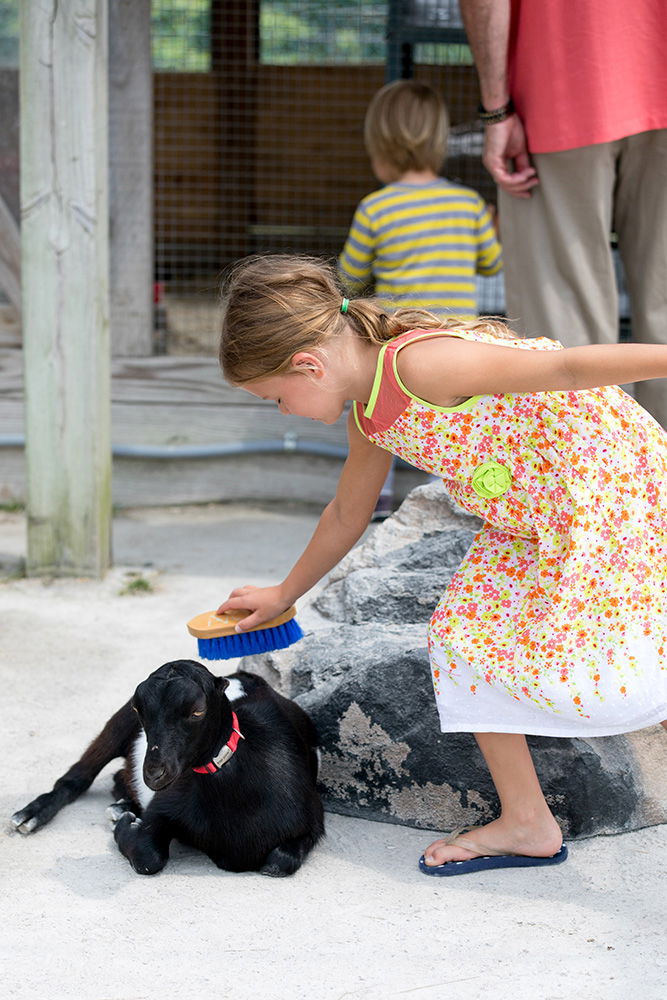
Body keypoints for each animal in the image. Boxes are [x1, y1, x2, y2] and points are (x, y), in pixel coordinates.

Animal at [10, 660, 324, 880]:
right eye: (139, 709)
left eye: (197, 711)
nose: (154, 773)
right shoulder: (163, 809)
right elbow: (148, 858)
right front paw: (126, 826)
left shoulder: (310, 825)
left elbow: (279, 862)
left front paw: (124, 818)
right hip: (117, 726)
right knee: (78, 777)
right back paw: (30, 816)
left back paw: (120, 804)